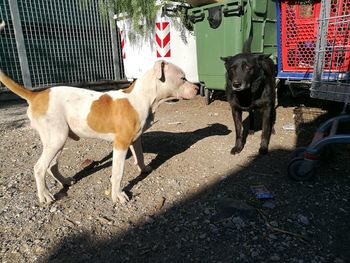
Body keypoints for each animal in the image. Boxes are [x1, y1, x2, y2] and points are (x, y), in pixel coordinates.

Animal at [0, 60, 198, 205]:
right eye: (182, 78)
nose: (197, 88)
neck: (143, 97)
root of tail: (37, 95)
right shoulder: (120, 144)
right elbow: (117, 173)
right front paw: (118, 195)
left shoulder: (135, 139)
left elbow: (140, 156)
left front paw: (143, 169)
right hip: (56, 138)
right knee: (39, 167)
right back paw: (45, 195)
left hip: (57, 139)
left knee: (51, 165)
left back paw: (65, 182)